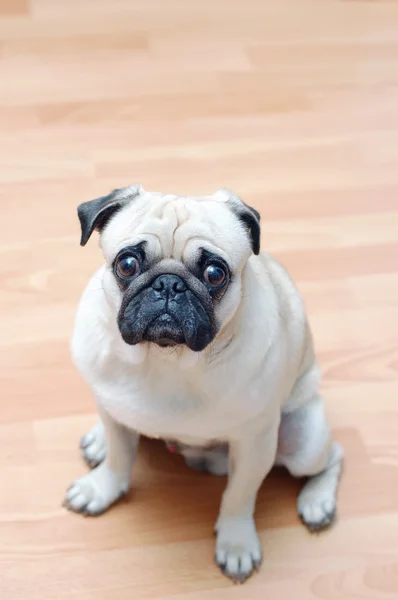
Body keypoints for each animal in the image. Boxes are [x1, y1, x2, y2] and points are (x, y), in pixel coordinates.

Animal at [63, 186, 344, 580]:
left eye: (214, 274)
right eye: (127, 265)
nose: (169, 284)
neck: (166, 360)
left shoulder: (254, 444)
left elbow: (239, 497)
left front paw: (236, 542)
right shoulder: (116, 416)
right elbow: (119, 459)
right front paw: (102, 487)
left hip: (304, 440)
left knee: (333, 456)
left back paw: (317, 501)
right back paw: (98, 440)